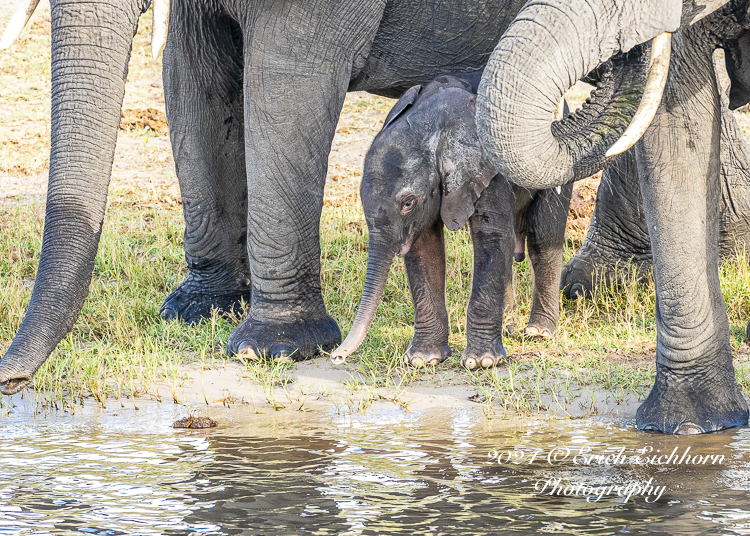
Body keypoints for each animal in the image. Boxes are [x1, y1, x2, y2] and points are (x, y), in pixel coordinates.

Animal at [332, 75, 572, 368]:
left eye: (408, 203)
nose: (336, 357)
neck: (432, 128)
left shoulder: (486, 168)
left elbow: (491, 237)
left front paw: (481, 363)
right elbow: (424, 247)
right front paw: (424, 359)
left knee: (543, 237)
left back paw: (539, 332)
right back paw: (508, 329)